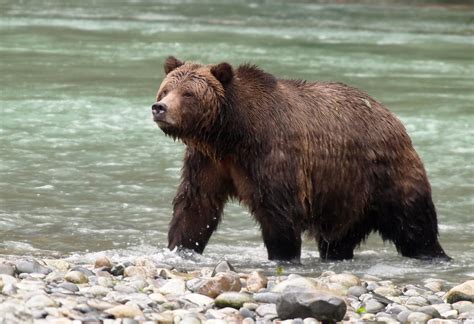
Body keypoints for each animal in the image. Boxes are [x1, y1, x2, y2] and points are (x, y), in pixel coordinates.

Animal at [152, 55, 448, 262]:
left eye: (188, 93)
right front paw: (180, 247)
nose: (159, 108)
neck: (230, 134)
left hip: (384, 174)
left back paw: (434, 254)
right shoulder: (208, 161)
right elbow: (196, 205)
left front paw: (283, 255)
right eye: (166, 89)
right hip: (344, 196)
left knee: (414, 224)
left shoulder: (272, 154)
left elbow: (278, 211)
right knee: (338, 240)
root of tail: (393, 117)